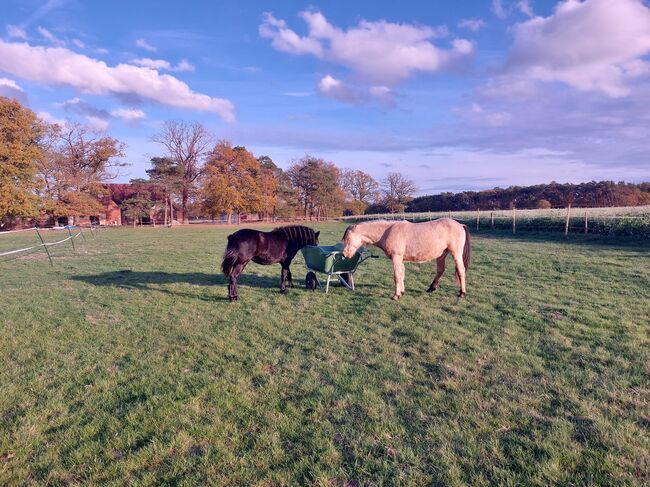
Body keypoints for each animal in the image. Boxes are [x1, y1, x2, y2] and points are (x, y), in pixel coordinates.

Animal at [340, 218, 470, 302]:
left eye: (348, 238)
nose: (344, 255)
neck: (387, 231)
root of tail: (460, 225)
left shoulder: (396, 257)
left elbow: (397, 276)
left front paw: (396, 295)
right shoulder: (400, 259)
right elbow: (402, 274)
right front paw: (401, 292)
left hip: (456, 254)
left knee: (461, 271)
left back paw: (462, 293)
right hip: (441, 255)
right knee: (440, 270)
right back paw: (431, 288)